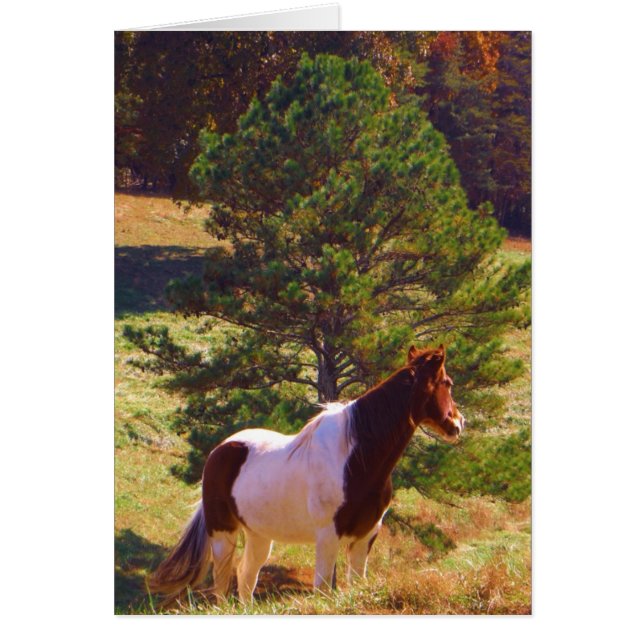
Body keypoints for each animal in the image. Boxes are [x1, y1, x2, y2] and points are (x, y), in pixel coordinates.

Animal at [148, 344, 465, 604]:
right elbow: (323, 589)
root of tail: (220, 450)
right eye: (447, 383)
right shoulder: (327, 535)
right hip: (222, 533)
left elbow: (356, 583)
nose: (459, 423)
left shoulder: (366, 535)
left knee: (246, 575)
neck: (355, 458)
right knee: (223, 582)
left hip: (259, 535)